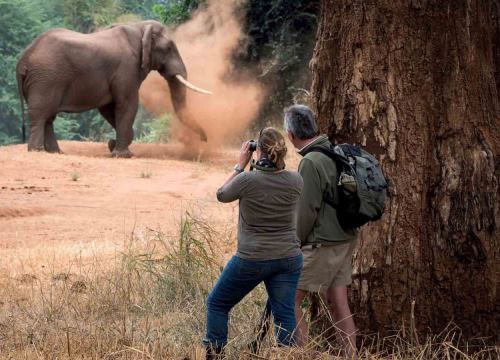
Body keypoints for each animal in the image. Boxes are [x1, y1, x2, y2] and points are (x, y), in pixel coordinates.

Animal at [15, 20, 210, 158]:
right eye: (169, 48)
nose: (205, 139)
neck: (140, 27)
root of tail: (24, 59)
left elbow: (108, 107)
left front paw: (113, 146)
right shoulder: (127, 67)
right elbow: (127, 104)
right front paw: (123, 154)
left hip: (44, 79)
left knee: (48, 116)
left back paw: (55, 152)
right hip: (46, 78)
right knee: (41, 114)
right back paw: (37, 151)